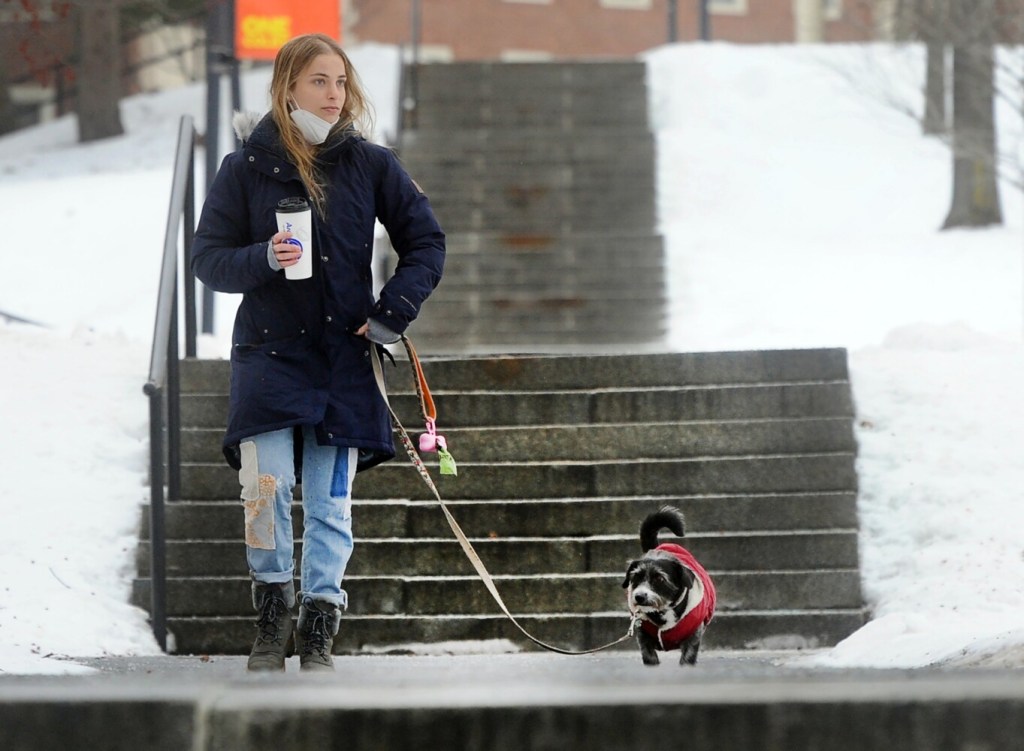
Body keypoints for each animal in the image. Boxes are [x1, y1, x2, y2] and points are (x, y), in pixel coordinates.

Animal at [618, 506, 716, 663]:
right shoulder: (644, 640)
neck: (662, 612)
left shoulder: (692, 639)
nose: (639, 597)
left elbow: (687, 658)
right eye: (636, 577)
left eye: (660, 578)